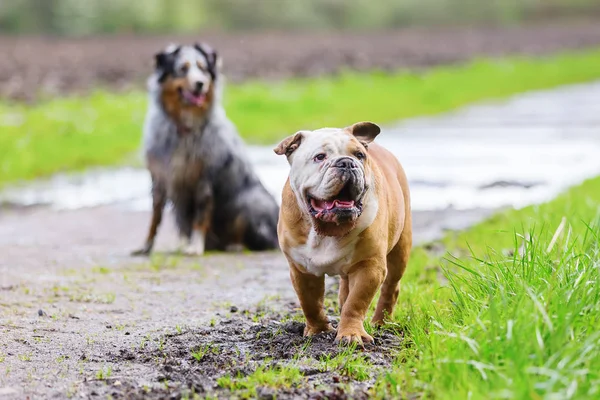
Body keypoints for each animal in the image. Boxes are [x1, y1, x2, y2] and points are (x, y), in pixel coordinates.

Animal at [132, 43, 280, 255]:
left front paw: (195, 247)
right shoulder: (159, 178)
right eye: (183, 69)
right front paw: (146, 246)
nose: (200, 83)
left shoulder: (205, 178)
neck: (184, 128)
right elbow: (155, 217)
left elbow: (201, 216)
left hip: (252, 200)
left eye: (203, 69)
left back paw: (234, 245)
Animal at [276, 121, 412, 344]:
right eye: (320, 157)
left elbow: (355, 303)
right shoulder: (301, 270)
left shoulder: (369, 266)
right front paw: (318, 330)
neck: (327, 229)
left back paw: (381, 322)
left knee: (390, 287)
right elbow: (310, 303)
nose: (347, 163)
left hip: (400, 250)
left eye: (359, 155)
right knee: (344, 291)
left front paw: (350, 334)